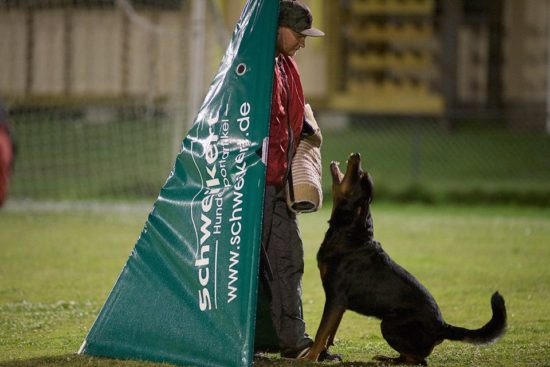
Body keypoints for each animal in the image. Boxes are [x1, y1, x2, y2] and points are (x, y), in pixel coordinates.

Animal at [306, 152, 508, 366]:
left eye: (360, 175)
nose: (357, 155)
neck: (349, 232)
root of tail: (442, 326)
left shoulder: (335, 298)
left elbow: (321, 333)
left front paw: (309, 358)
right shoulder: (340, 305)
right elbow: (329, 335)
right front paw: (322, 356)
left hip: (389, 324)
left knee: (417, 359)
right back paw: (386, 358)